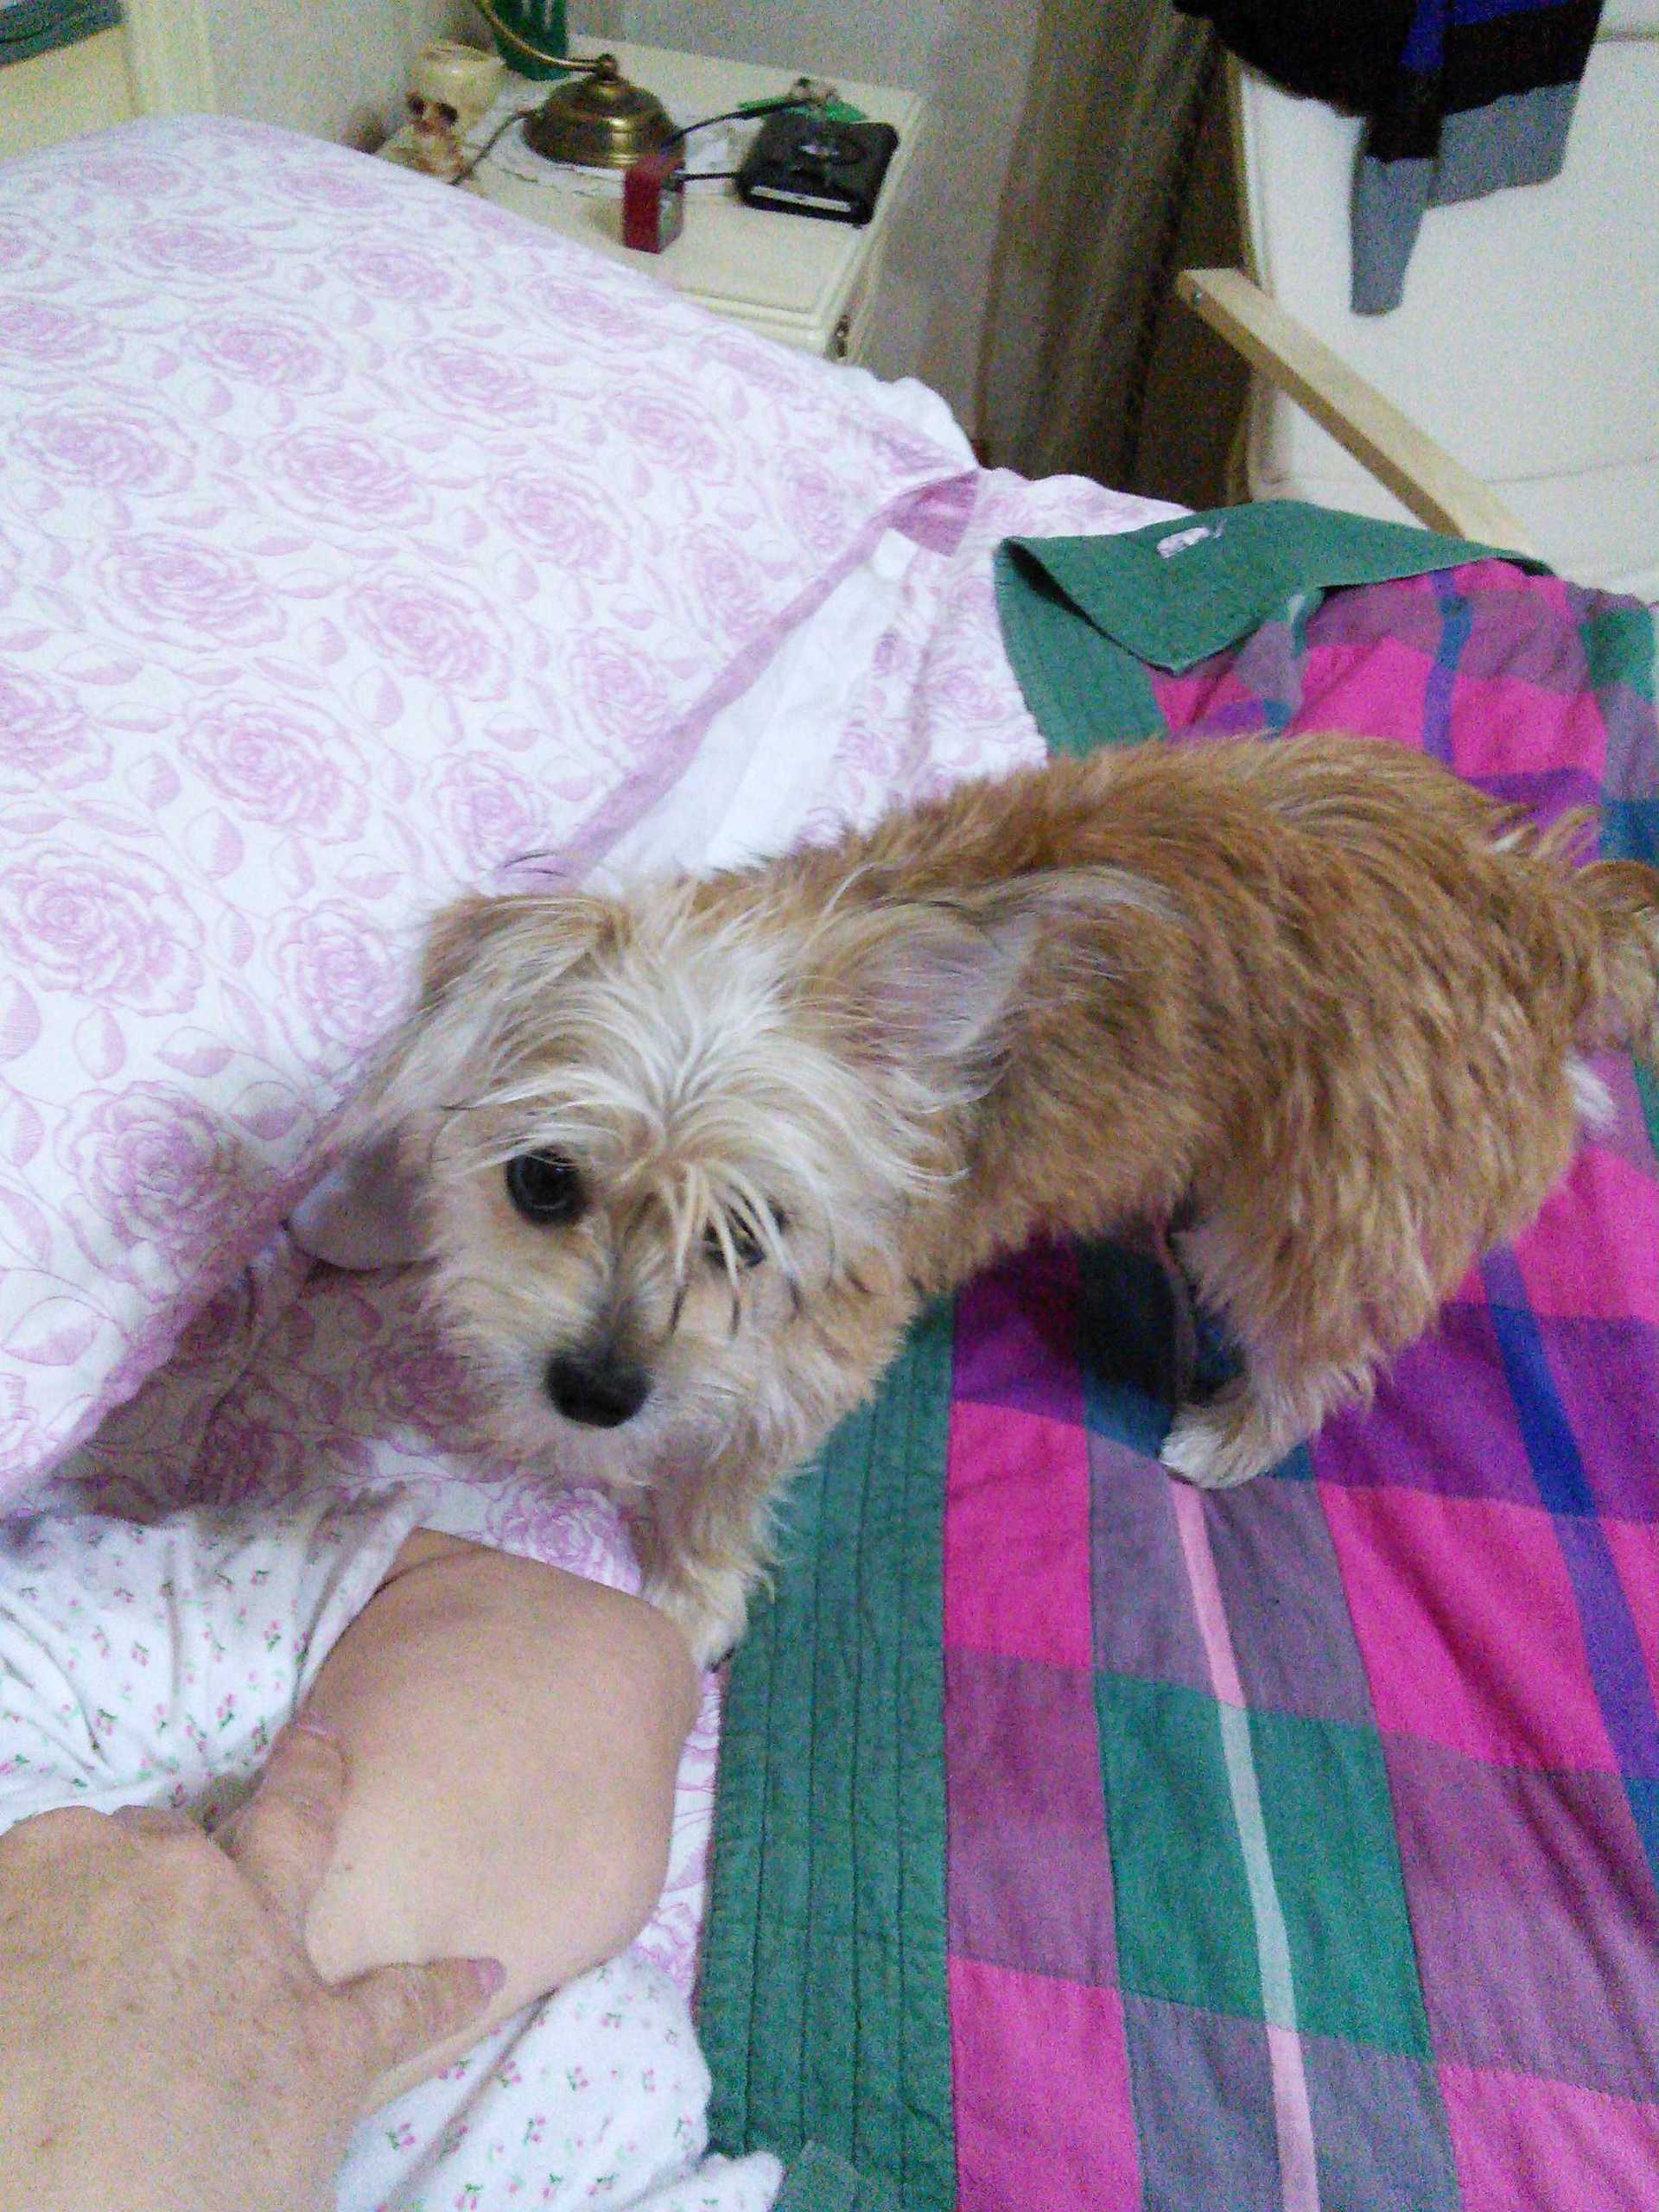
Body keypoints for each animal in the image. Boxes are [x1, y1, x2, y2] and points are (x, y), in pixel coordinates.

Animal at [319, 733, 1659, 1663]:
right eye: (542, 1182)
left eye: (748, 1238)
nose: (595, 1393)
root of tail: (1552, 908)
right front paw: (364, 1221)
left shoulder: (810, 1359)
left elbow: (724, 1480)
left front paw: (690, 1597)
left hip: (1318, 1208)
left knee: (1319, 1353)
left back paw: (1230, 1435)